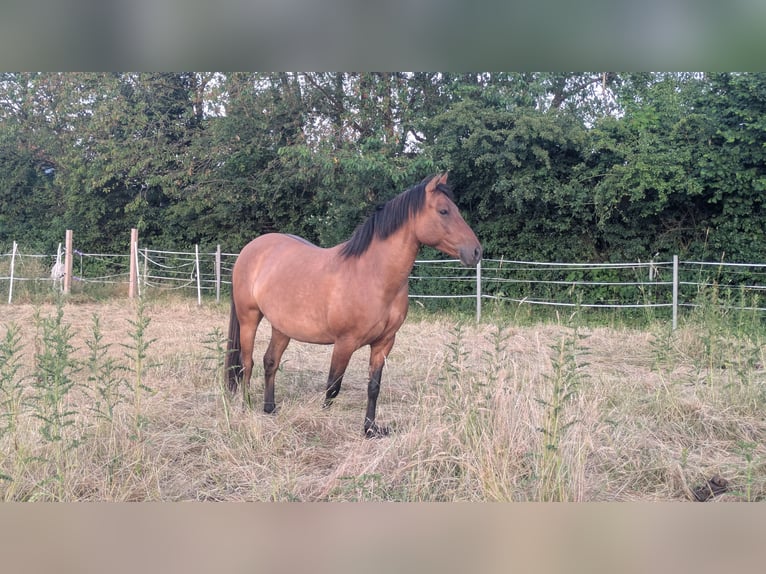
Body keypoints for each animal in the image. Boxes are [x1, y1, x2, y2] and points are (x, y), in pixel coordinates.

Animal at [225, 173, 482, 437]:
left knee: (270, 362)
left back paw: (270, 408)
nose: (476, 251)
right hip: (249, 318)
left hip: (282, 326)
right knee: (247, 363)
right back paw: (246, 407)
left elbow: (374, 387)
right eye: (443, 211)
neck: (372, 275)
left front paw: (370, 429)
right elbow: (332, 387)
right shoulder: (344, 343)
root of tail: (250, 249)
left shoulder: (384, 344)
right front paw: (325, 422)